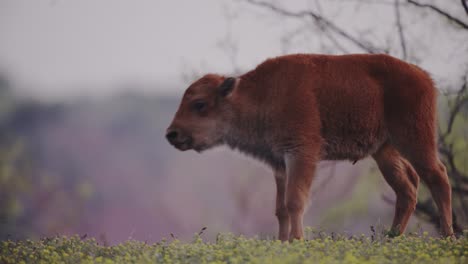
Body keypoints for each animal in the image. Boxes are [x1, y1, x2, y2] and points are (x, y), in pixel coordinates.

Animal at [167, 53, 454, 241]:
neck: (260, 94)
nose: (172, 134)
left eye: (200, 104)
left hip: (415, 139)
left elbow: (295, 201)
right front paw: (282, 242)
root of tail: (424, 77)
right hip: (384, 151)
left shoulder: (301, 154)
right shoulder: (279, 163)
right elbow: (280, 208)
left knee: (437, 176)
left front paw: (297, 241)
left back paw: (447, 236)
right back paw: (391, 238)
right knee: (408, 187)